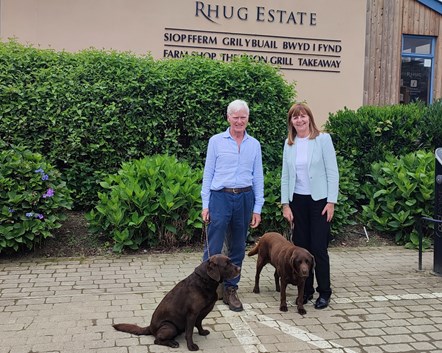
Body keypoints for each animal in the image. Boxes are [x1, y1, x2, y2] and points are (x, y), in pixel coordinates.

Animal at [112, 253, 240, 350]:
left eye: (230, 261)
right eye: (227, 264)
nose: (239, 268)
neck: (205, 282)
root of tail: (150, 327)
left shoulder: (201, 313)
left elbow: (199, 324)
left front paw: (202, 332)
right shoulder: (192, 314)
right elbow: (189, 332)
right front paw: (191, 346)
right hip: (170, 327)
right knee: (157, 340)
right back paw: (172, 343)